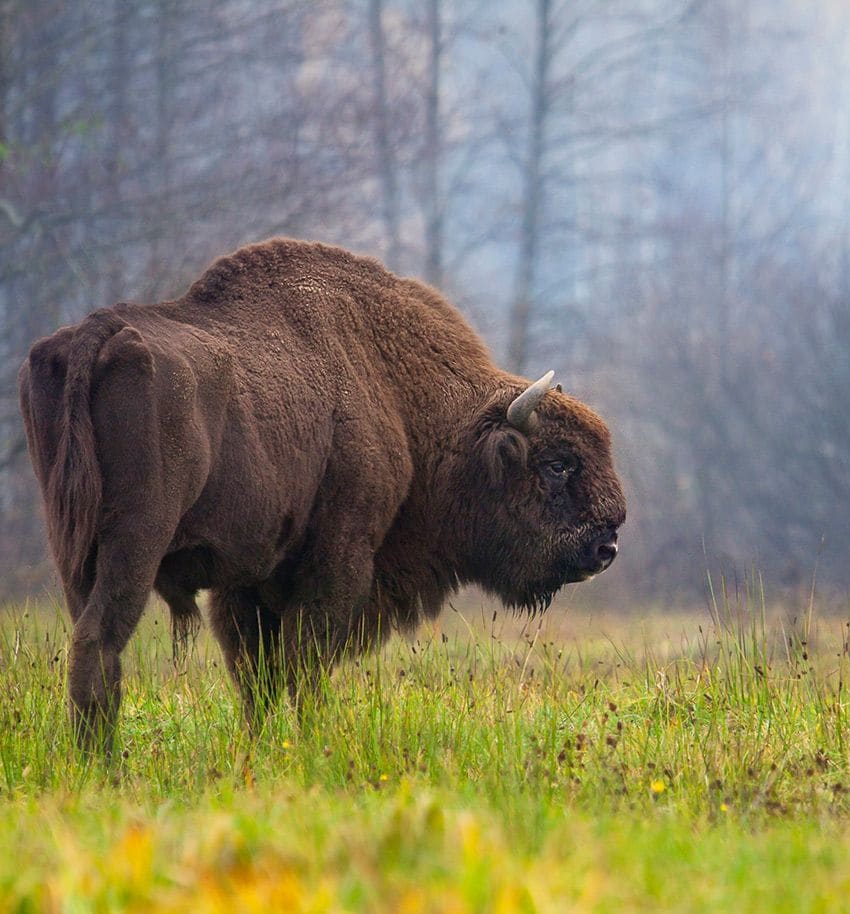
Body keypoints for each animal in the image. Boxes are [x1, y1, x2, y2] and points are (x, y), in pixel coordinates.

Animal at [18, 237, 624, 748]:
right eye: (558, 464)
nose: (607, 545)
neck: (401, 396)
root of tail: (96, 332)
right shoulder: (337, 560)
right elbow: (304, 666)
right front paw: (310, 743)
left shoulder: (246, 582)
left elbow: (257, 676)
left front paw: (262, 748)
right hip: (136, 542)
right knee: (100, 639)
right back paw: (104, 763)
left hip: (71, 547)